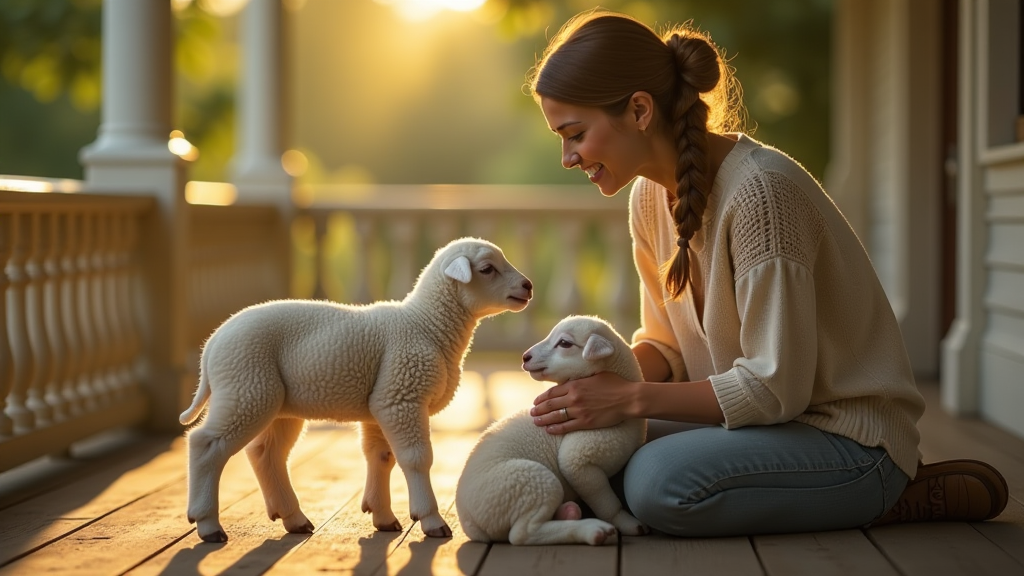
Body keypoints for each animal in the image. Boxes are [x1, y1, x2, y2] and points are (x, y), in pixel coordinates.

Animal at [179, 235, 532, 541]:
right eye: (487, 269)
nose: (528, 286)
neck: (426, 324)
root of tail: (212, 343)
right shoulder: (402, 398)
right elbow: (416, 459)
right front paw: (431, 520)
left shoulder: (382, 403)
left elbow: (381, 457)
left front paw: (383, 517)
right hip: (245, 386)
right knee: (205, 444)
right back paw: (208, 524)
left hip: (273, 400)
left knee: (266, 453)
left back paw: (293, 518)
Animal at [456, 313, 647, 541]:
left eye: (564, 343)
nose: (525, 357)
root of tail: (467, 521)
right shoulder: (577, 460)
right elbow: (606, 503)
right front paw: (629, 524)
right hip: (531, 481)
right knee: (523, 534)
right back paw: (591, 530)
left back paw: (570, 513)